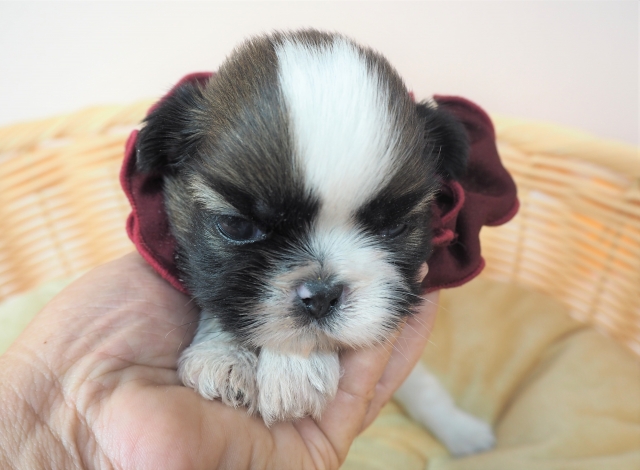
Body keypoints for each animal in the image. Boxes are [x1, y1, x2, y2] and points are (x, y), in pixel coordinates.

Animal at [134, 29, 495, 456]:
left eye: (394, 227)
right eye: (236, 226)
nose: (322, 295)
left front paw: (294, 369)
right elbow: (222, 300)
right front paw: (222, 356)